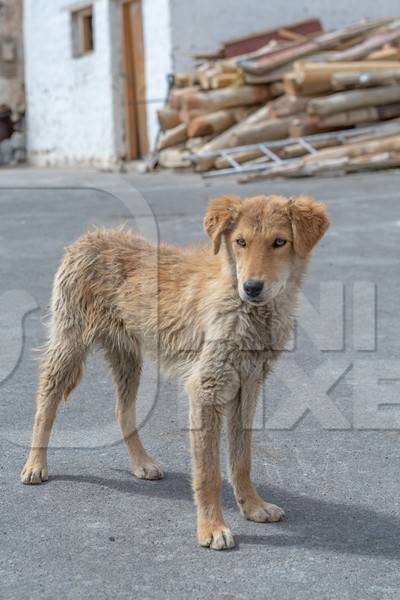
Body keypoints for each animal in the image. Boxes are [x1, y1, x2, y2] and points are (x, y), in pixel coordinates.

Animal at [20, 195, 330, 552]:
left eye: (279, 242)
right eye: (240, 242)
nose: (251, 287)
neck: (244, 309)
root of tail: (91, 237)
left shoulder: (248, 386)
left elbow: (242, 460)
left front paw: (252, 506)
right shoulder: (206, 388)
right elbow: (208, 473)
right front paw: (211, 528)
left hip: (127, 356)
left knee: (122, 411)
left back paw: (141, 463)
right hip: (69, 345)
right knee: (45, 404)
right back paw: (35, 464)